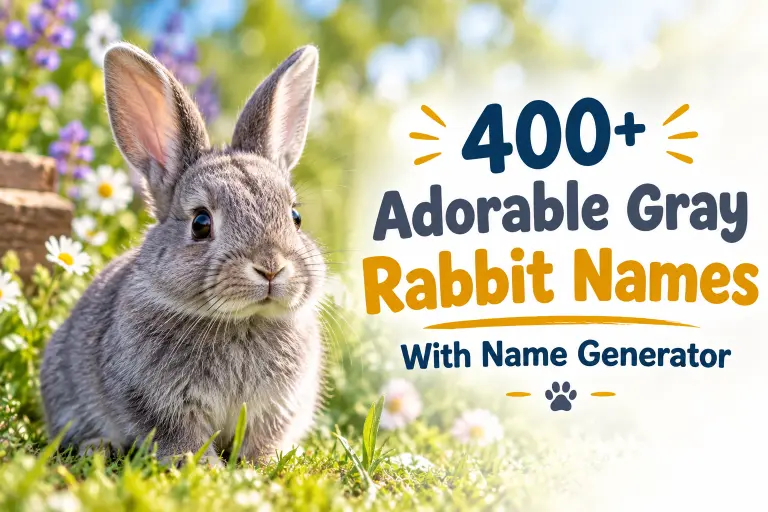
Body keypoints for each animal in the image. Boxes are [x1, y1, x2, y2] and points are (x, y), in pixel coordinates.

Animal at [40, 42, 327, 464]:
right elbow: (182, 437)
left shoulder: (276, 408)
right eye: (201, 223)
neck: (240, 321)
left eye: (296, 217)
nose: (271, 268)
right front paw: (203, 467)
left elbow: (264, 439)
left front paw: (261, 464)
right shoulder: (160, 404)